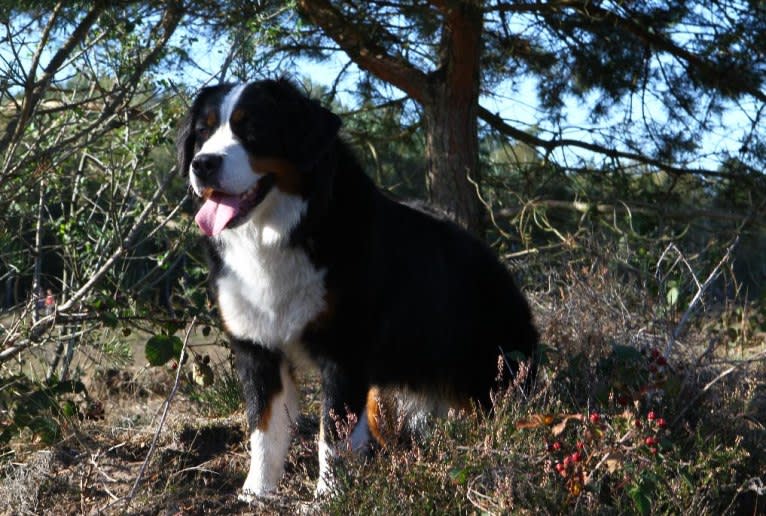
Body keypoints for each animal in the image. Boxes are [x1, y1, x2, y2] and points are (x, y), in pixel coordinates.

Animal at [178, 78, 540, 502]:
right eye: (203, 132)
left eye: (251, 129)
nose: (202, 163)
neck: (281, 236)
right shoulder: (258, 347)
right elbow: (264, 429)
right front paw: (257, 493)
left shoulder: (344, 351)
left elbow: (333, 435)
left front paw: (330, 497)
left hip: (488, 369)